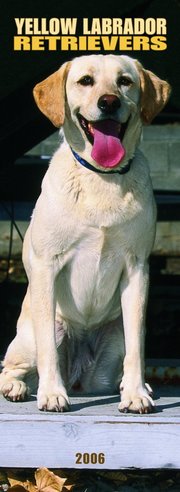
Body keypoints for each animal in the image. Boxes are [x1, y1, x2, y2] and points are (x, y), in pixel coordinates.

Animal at [0, 55, 170, 414]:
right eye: (85, 81)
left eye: (124, 81)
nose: (109, 102)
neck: (101, 177)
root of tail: (79, 377)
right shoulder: (46, 265)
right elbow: (48, 352)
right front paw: (52, 393)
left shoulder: (137, 269)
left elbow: (138, 347)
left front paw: (136, 393)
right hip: (36, 336)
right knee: (12, 366)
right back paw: (18, 387)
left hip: (115, 335)